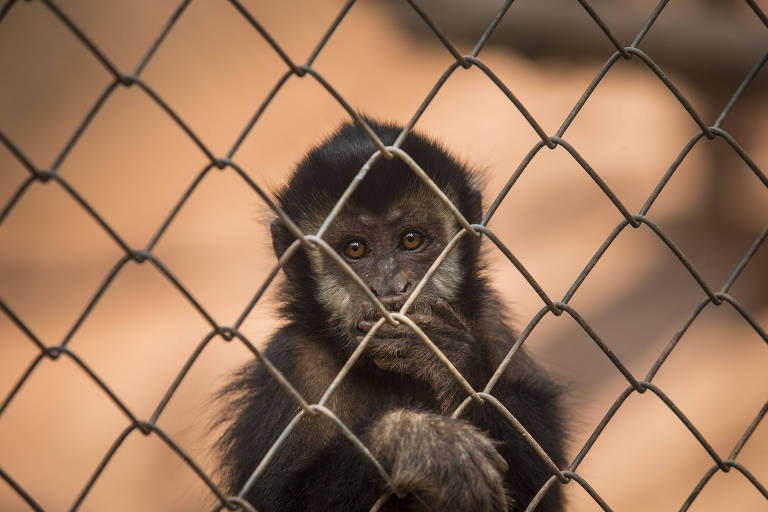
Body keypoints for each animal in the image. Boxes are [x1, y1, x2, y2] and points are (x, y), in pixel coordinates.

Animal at [214, 121, 564, 512]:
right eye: (355, 249)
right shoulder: (294, 360)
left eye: (411, 240)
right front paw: (414, 441)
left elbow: (547, 486)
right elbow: (271, 500)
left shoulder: (487, 318)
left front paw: (444, 355)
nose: (391, 286)